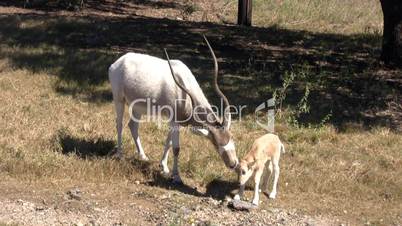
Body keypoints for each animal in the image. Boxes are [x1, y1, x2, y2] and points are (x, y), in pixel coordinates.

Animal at [108, 35, 237, 184]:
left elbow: (168, 142)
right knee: (119, 124)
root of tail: (117, 62)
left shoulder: (174, 121)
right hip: (119, 99)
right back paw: (120, 155)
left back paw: (143, 156)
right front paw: (176, 176)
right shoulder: (174, 120)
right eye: (215, 144)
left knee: (133, 125)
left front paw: (164, 167)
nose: (233, 164)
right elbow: (176, 148)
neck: (184, 90)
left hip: (137, 107)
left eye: (231, 138)